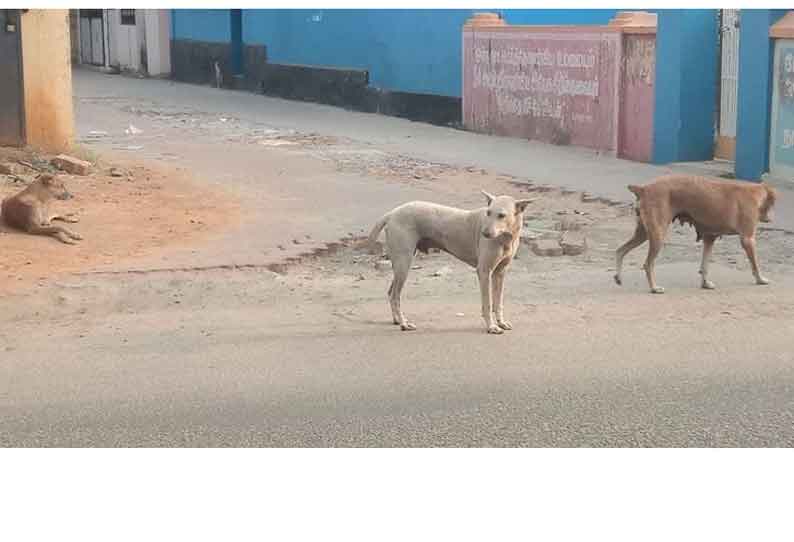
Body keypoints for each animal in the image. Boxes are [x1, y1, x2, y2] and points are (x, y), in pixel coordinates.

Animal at [366, 191, 532, 336]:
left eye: (502, 215)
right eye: (488, 213)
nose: (484, 233)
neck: (505, 237)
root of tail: (392, 213)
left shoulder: (500, 273)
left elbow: (498, 302)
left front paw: (501, 323)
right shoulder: (484, 271)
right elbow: (488, 303)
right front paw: (491, 327)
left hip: (401, 264)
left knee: (391, 293)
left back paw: (396, 320)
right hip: (404, 263)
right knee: (395, 295)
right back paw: (404, 323)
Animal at [612, 174, 772, 294]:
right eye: (772, 204)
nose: (771, 218)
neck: (755, 192)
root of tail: (644, 188)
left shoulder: (709, 238)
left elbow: (704, 266)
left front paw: (705, 283)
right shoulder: (748, 240)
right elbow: (755, 265)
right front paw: (760, 279)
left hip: (643, 233)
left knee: (620, 250)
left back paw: (619, 276)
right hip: (658, 235)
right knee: (647, 264)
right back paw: (654, 288)